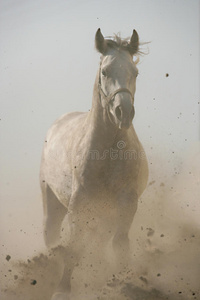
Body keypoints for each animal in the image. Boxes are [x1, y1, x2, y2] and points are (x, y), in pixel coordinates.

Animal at [39, 28, 148, 300]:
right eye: (105, 71)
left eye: (135, 72)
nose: (123, 113)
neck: (106, 155)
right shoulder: (78, 207)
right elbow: (73, 247)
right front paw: (62, 290)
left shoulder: (126, 203)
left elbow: (120, 244)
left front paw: (123, 284)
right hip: (51, 201)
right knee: (52, 236)